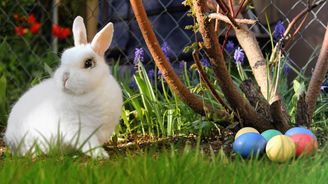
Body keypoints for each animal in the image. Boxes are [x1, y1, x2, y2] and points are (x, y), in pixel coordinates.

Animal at [3, 16, 123, 158]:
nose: (65, 77)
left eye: (88, 63)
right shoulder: (78, 128)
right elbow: (89, 143)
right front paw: (100, 155)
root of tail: (9, 138)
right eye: (63, 60)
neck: (89, 92)